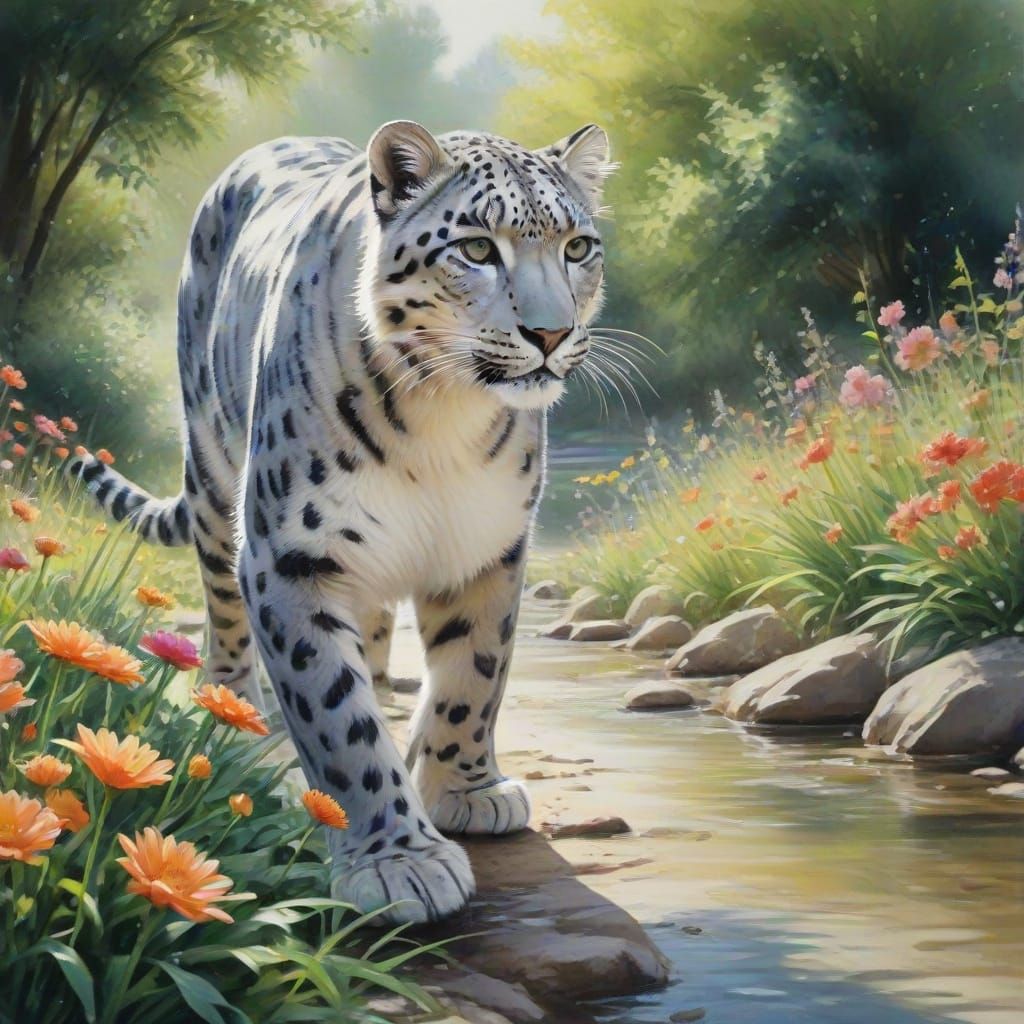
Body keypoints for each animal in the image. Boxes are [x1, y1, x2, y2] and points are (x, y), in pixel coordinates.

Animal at [69, 119, 613, 924]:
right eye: (477, 248)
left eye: (577, 247)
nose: (550, 333)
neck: (443, 420)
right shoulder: (289, 556)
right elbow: (335, 714)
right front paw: (400, 861)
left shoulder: (489, 546)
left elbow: (477, 673)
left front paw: (467, 790)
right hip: (214, 476)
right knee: (223, 609)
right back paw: (234, 714)